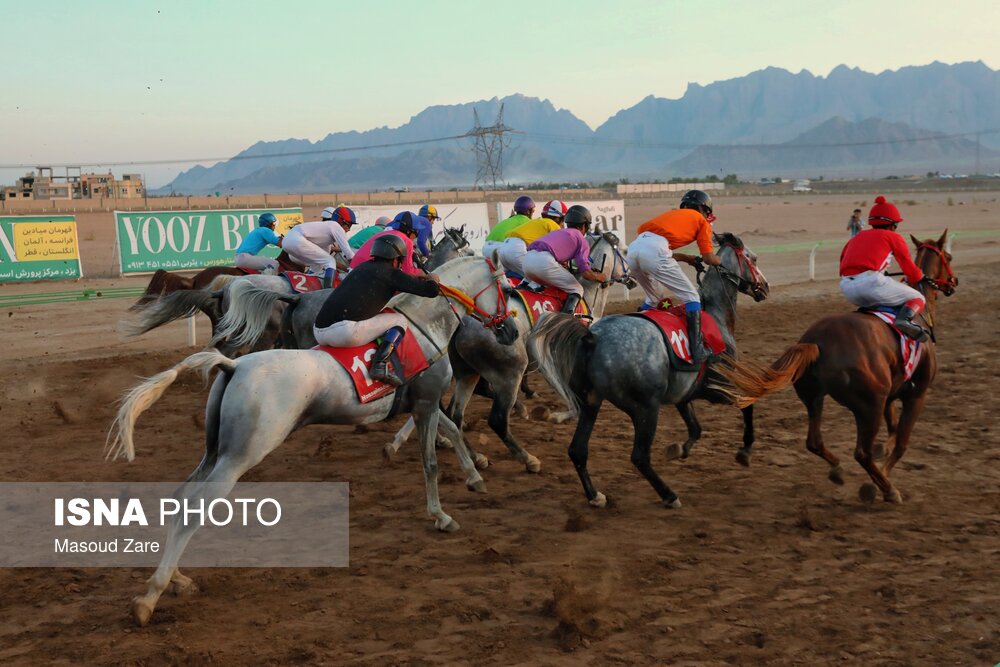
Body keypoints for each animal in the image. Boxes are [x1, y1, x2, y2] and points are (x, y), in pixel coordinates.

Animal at [106, 254, 520, 628]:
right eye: (506, 288)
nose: (512, 332)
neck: (424, 327)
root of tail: (234, 365)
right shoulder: (426, 403)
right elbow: (431, 461)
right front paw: (441, 515)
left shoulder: (422, 404)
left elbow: (454, 431)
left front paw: (476, 475)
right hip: (240, 456)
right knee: (195, 507)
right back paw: (151, 595)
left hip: (215, 451)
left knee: (181, 497)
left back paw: (177, 578)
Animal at [528, 232, 768, 508]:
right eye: (753, 258)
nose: (765, 287)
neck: (715, 315)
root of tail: (592, 337)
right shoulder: (719, 386)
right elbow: (748, 403)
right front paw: (745, 451)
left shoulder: (684, 395)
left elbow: (696, 427)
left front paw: (680, 449)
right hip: (645, 408)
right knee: (639, 456)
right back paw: (669, 495)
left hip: (590, 402)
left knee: (577, 450)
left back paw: (595, 495)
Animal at [708, 232, 956, 504]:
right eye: (949, 257)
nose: (953, 282)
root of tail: (816, 342)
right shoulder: (916, 393)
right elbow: (901, 442)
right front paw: (881, 479)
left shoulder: (892, 392)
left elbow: (892, 432)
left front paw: (882, 454)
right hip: (869, 405)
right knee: (861, 453)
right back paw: (887, 489)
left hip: (815, 397)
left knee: (815, 442)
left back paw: (839, 469)